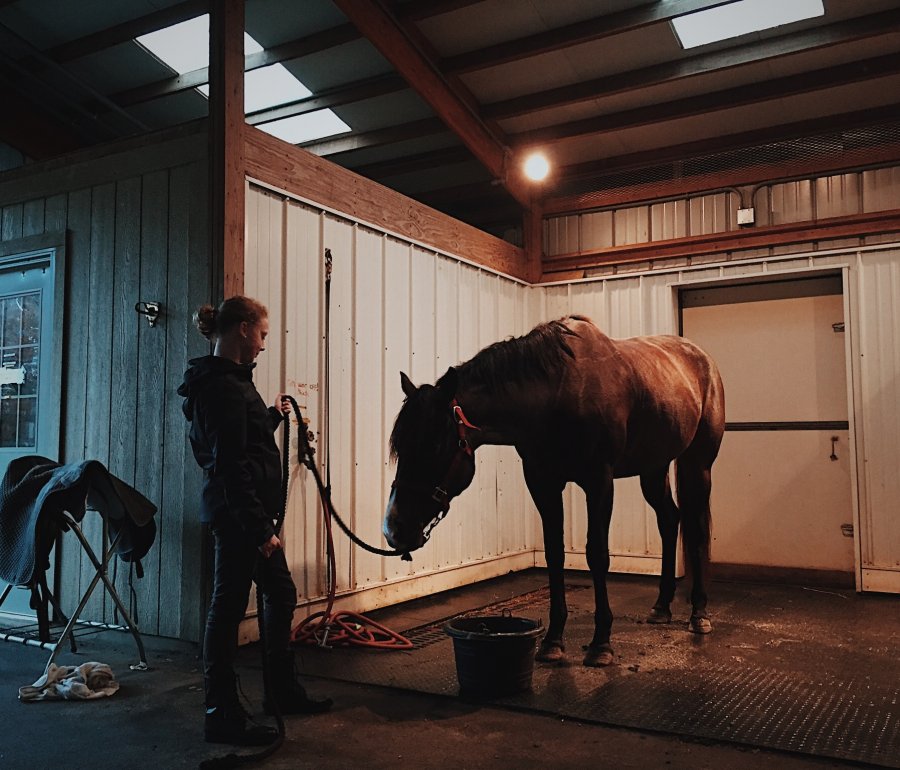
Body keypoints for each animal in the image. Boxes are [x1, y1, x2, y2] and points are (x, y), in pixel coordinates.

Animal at [383, 315, 725, 667]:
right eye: (399, 446)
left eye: (436, 445)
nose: (394, 528)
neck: (557, 395)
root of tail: (702, 360)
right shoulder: (542, 482)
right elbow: (554, 553)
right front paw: (552, 641)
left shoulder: (598, 481)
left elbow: (597, 554)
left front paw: (601, 643)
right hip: (653, 468)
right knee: (669, 521)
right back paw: (661, 606)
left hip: (697, 464)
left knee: (697, 528)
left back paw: (699, 613)